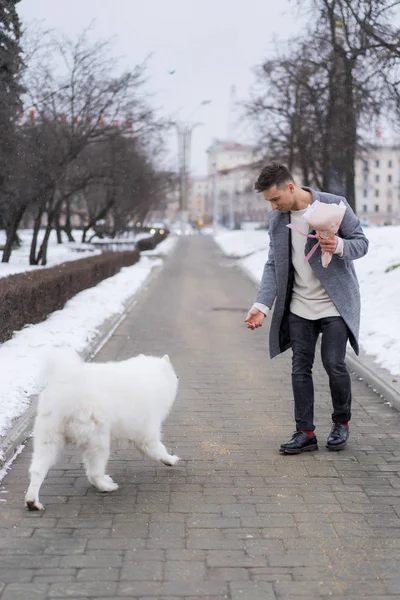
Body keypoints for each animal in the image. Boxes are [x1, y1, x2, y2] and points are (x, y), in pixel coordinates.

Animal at [25, 346, 180, 510]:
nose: (178, 377)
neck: (152, 378)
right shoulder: (147, 432)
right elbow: (158, 449)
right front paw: (170, 459)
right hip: (97, 441)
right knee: (94, 471)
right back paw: (106, 486)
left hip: (49, 440)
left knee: (37, 470)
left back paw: (32, 501)